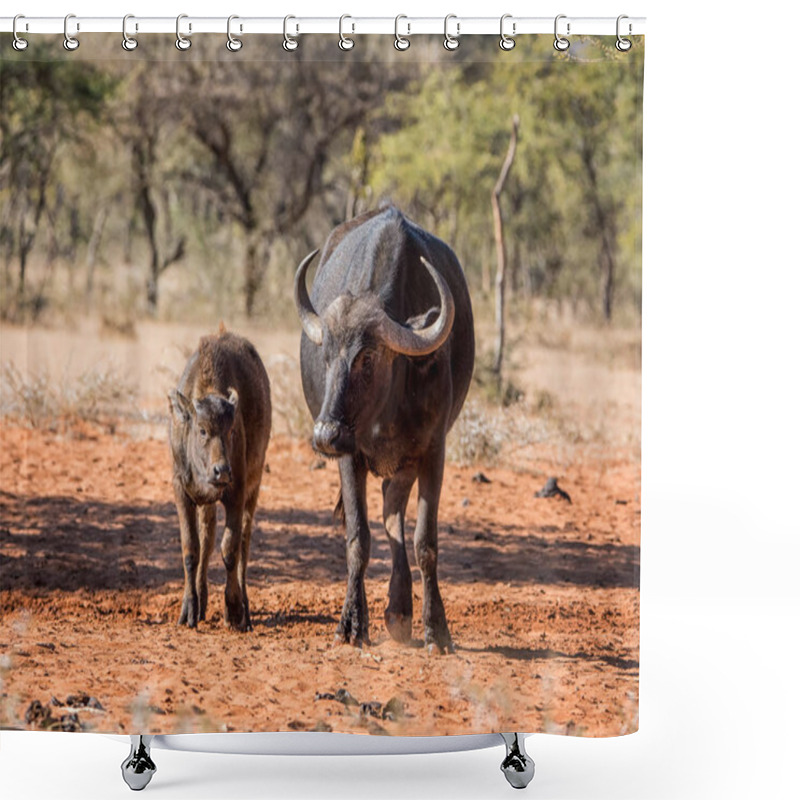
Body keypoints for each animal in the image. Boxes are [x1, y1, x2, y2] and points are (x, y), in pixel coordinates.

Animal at [294, 205, 472, 648]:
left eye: (367, 358)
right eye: (326, 356)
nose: (325, 434)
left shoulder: (433, 452)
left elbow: (425, 540)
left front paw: (436, 627)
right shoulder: (349, 455)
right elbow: (358, 537)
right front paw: (352, 623)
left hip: (406, 464)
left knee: (394, 514)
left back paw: (401, 611)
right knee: (387, 518)